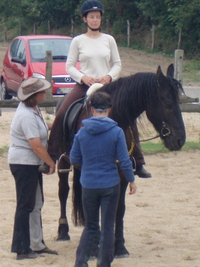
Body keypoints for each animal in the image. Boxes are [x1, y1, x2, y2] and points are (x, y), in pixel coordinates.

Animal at [54, 64, 185, 258]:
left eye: (178, 102)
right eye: (167, 103)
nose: (180, 140)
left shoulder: (122, 174)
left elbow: (119, 209)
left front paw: (119, 246)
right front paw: (95, 248)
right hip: (64, 162)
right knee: (63, 191)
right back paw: (63, 231)